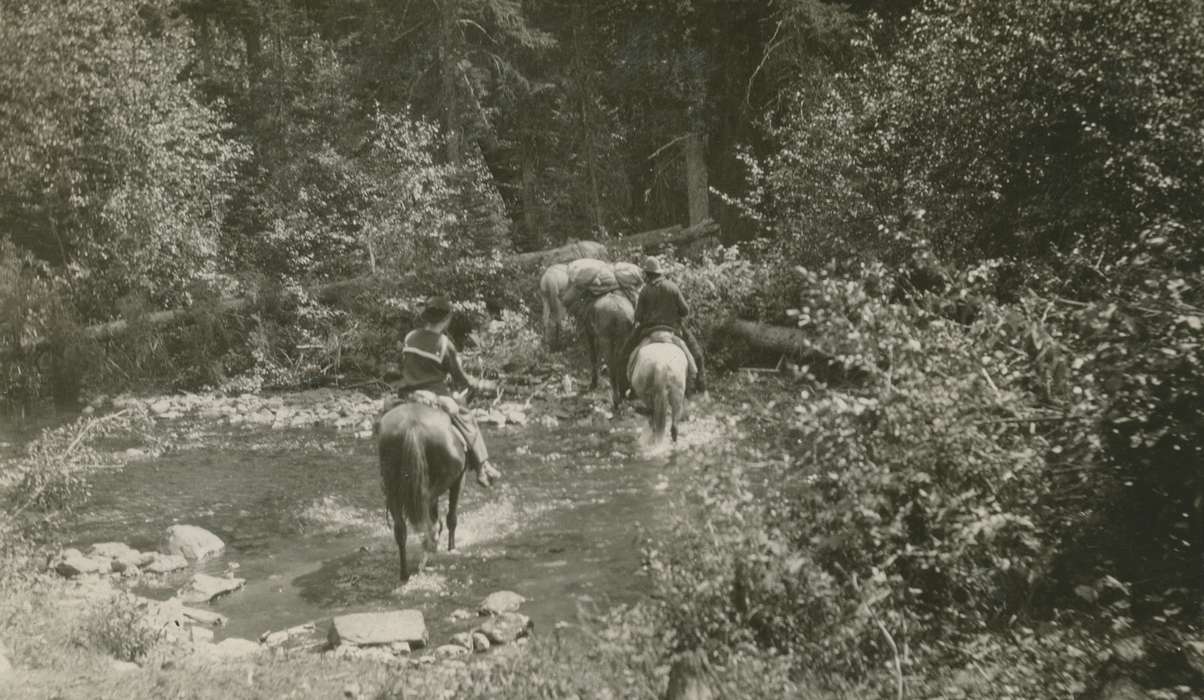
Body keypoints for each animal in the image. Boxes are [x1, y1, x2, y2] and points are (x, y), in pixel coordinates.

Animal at [378, 402, 467, 580]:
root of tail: (412, 426)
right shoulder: (459, 479)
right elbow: (452, 518)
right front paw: (451, 548)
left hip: (392, 490)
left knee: (401, 530)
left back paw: (405, 573)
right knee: (429, 513)